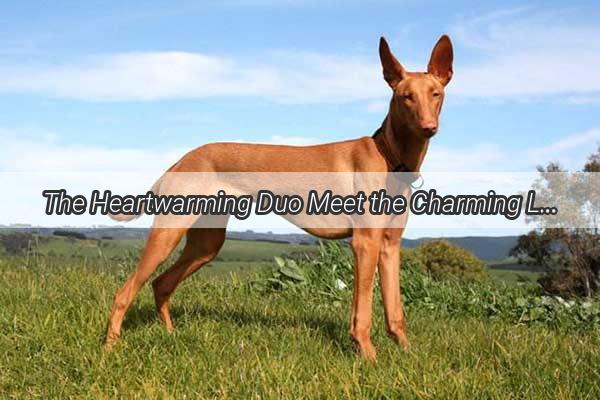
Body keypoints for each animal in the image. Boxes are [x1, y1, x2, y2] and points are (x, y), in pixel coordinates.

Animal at [106, 35, 454, 360]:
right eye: (405, 97)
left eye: (435, 93)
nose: (429, 127)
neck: (389, 156)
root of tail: (181, 160)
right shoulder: (365, 243)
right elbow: (362, 313)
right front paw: (368, 357)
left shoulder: (389, 245)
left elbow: (395, 310)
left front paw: (407, 353)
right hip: (168, 232)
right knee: (124, 292)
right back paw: (110, 347)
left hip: (206, 243)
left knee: (161, 283)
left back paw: (170, 335)